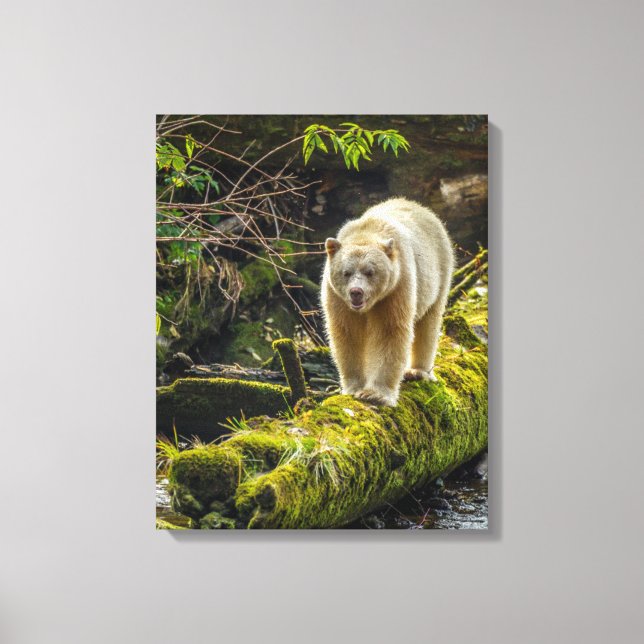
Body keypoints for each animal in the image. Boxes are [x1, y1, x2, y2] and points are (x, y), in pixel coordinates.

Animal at [321, 197, 454, 407]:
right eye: (346, 272)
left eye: (370, 272)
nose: (356, 292)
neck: (366, 233)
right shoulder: (337, 298)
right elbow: (347, 334)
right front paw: (354, 388)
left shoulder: (396, 288)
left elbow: (389, 332)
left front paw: (375, 394)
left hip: (438, 274)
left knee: (429, 324)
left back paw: (417, 371)